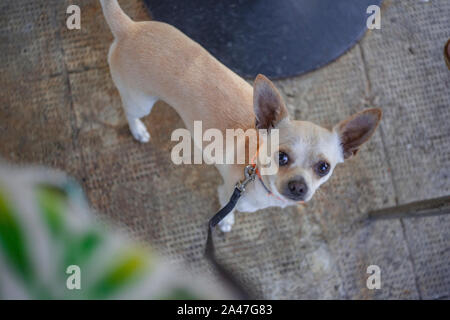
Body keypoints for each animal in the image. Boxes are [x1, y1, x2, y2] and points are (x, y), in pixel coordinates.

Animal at [100, 1, 382, 234]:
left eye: (323, 167)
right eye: (281, 157)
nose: (299, 187)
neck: (254, 166)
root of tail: (129, 28)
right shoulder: (227, 193)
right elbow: (227, 211)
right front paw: (225, 223)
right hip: (140, 102)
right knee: (130, 113)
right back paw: (138, 130)